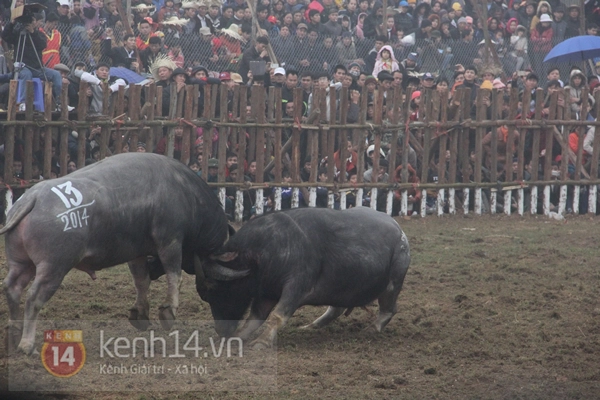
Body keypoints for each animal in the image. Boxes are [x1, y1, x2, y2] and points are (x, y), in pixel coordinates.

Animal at [1, 152, 227, 354]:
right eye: (215, 287)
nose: (226, 327)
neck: (187, 194)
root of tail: (32, 198)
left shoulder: (137, 252)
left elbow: (141, 280)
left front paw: (140, 313)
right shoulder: (170, 241)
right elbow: (174, 276)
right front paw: (169, 312)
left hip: (22, 264)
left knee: (12, 288)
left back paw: (13, 336)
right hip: (53, 268)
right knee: (33, 298)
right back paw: (26, 344)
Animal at [199, 208, 410, 348]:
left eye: (212, 287)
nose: (221, 330)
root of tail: (400, 232)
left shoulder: (296, 288)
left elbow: (278, 315)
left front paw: (262, 341)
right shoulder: (266, 293)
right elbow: (255, 318)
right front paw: (240, 336)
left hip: (393, 284)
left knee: (389, 309)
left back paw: (372, 328)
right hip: (341, 288)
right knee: (336, 309)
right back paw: (311, 326)